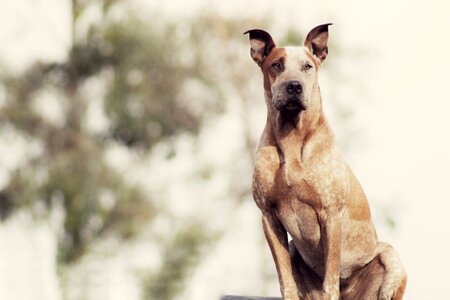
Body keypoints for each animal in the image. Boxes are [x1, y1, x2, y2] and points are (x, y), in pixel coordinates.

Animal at [246, 24, 408, 300]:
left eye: (307, 66)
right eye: (276, 65)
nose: (294, 87)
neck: (292, 136)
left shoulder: (330, 214)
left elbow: (330, 278)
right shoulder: (268, 217)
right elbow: (285, 280)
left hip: (391, 258)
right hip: (293, 248)